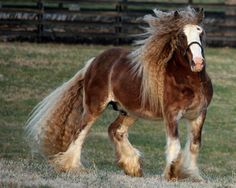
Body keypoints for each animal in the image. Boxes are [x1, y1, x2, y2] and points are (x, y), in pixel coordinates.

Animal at [24, 6, 213, 181]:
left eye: (201, 33)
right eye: (182, 36)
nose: (198, 63)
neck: (187, 81)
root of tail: (93, 62)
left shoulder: (199, 114)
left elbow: (195, 145)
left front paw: (192, 176)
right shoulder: (171, 115)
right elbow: (175, 145)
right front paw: (171, 175)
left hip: (128, 111)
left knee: (115, 130)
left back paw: (132, 167)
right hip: (95, 107)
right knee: (80, 132)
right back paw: (70, 167)